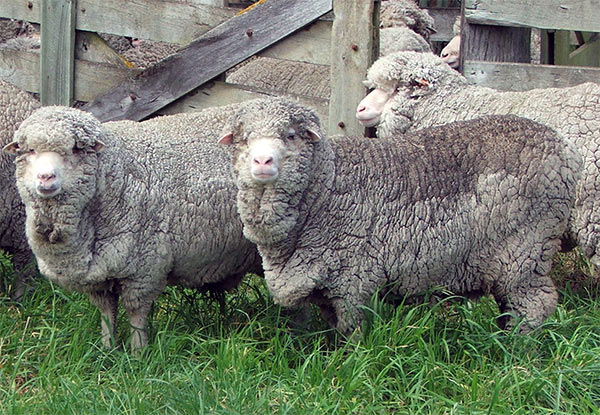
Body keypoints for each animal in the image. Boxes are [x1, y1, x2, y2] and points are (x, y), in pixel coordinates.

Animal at [4, 105, 262, 352]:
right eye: (29, 150)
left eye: (76, 149)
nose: (45, 177)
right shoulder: (100, 274)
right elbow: (107, 312)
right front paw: (107, 349)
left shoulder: (145, 267)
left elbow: (136, 313)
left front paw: (138, 353)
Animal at [220, 99, 580, 336]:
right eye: (243, 139)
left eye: (291, 135)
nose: (262, 161)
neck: (328, 187)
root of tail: (564, 147)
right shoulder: (325, 284)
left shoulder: (354, 280)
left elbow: (352, 332)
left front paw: (349, 363)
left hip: (525, 249)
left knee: (534, 304)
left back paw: (515, 350)